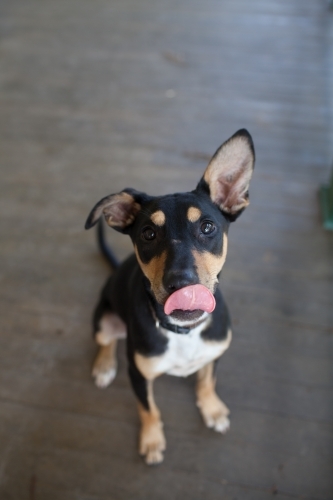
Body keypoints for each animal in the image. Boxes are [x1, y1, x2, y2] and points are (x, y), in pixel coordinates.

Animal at [85, 129, 254, 464]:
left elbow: (207, 381)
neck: (183, 332)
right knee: (106, 340)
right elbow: (148, 409)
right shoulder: (138, 375)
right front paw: (152, 441)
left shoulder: (214, 353)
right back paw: (104, 365)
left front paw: (212, 409)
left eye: (207, 227)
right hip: (103, 317)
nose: (180, 284)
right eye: (148, 234)